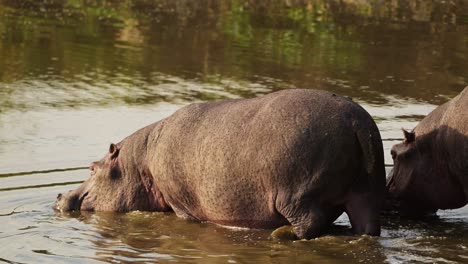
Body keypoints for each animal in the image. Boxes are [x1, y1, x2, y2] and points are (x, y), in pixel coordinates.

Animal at [54, 89, 386, 239]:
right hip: (367, 190)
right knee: (368, 225)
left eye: (92, 168)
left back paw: (281, 235)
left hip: (296, 193)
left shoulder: (181, 204)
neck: (139, 164)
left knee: (310, 221)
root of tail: (356, 120)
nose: (59, 195)